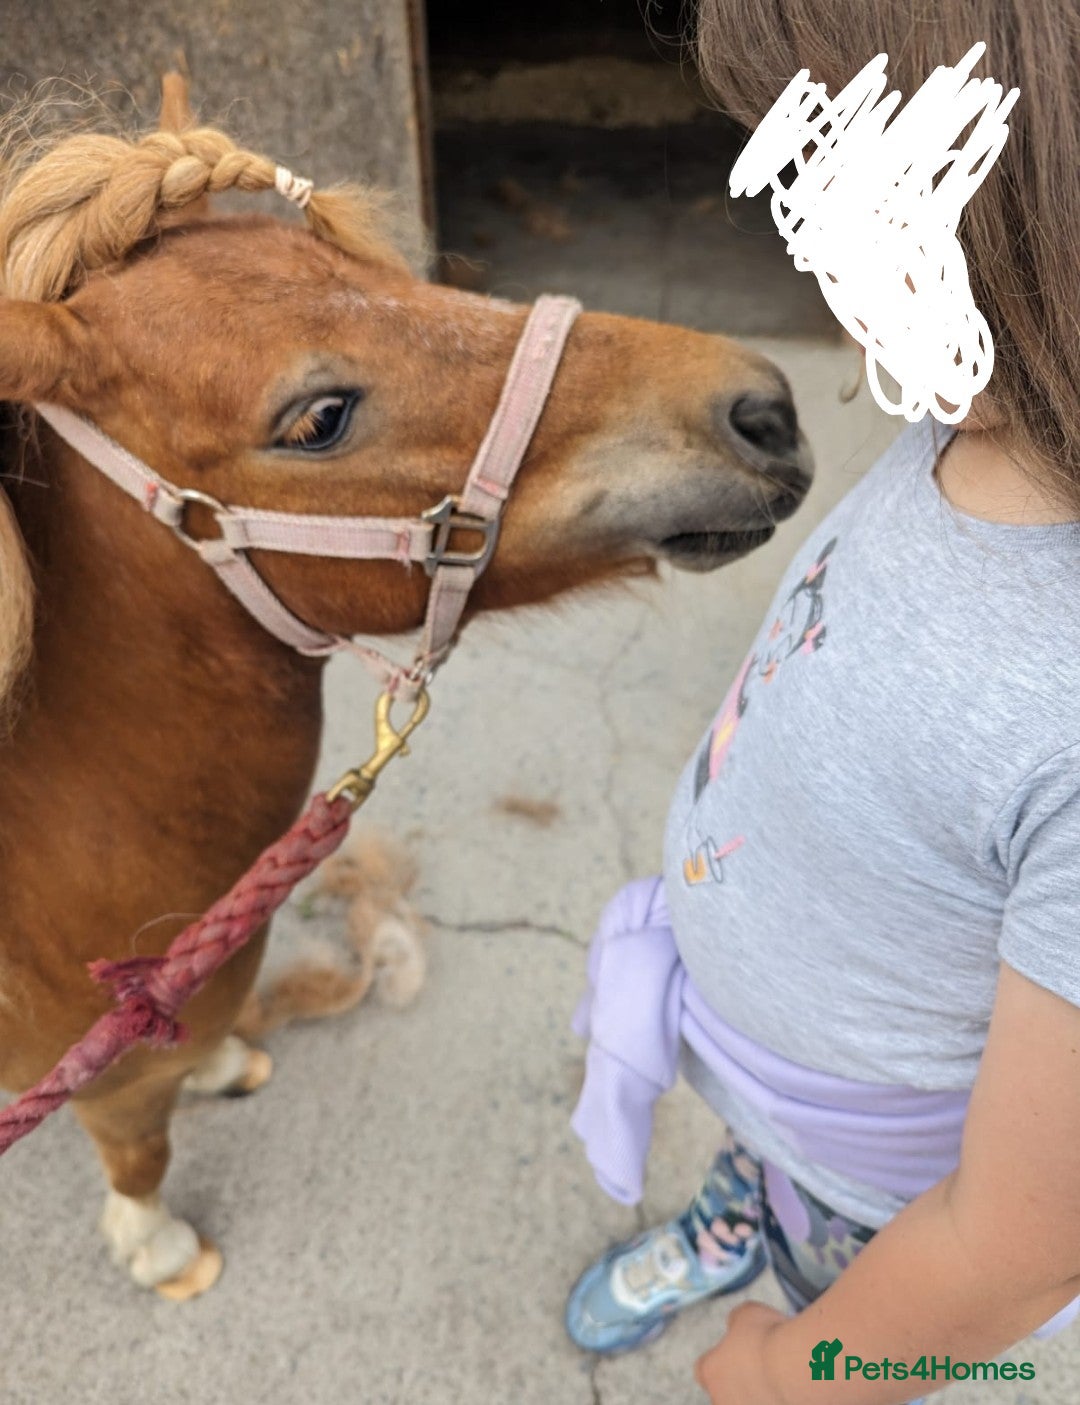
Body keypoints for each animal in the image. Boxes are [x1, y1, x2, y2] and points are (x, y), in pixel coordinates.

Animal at [0, 77, 811, 1299]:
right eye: (319, 417)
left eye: (393, 275)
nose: (762, 410)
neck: (60, 828)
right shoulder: (98, 1076)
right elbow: (139, 1146)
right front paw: (159, 1246)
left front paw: (221, 1060)